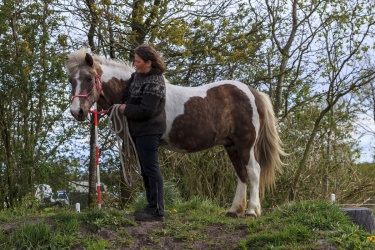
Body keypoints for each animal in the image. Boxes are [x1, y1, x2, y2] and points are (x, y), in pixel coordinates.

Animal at [65, 47, 282, 218]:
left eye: (89, 78)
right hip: (231, 145)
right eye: (71, 80)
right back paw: (234, 210)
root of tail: (254, 93)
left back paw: (252, 211)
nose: (77, 111)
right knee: (241, 174)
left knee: (253, 172)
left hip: (246, 144)